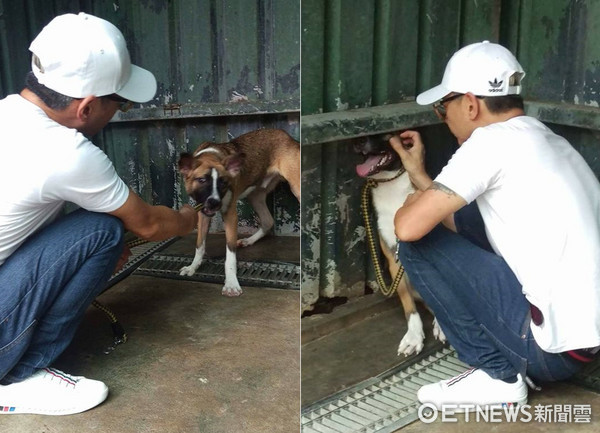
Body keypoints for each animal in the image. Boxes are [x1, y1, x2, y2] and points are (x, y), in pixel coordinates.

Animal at [177, 128, 300, 296]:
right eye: (202, 180)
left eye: (223, 182)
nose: (215, 203)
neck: (211, 156)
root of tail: (289, 137)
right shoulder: (202, 213)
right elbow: (199, 244)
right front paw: (193, 267)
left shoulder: (231, 215)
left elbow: (230, 254)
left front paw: (231, 283)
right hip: (255, 195)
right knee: (268, 221)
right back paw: (249, 240)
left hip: (297, 189)